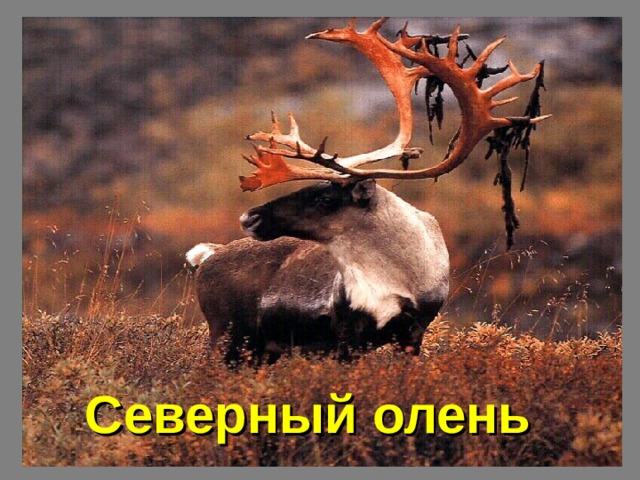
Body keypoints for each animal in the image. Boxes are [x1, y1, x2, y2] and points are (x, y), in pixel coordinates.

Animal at [186, 18, 551, 365]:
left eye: (324, 197)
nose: (249, 217)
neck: (403, 275)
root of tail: (208, 255)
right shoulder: (348, 334)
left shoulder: (412, 333)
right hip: (227, 337)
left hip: (259, 349)